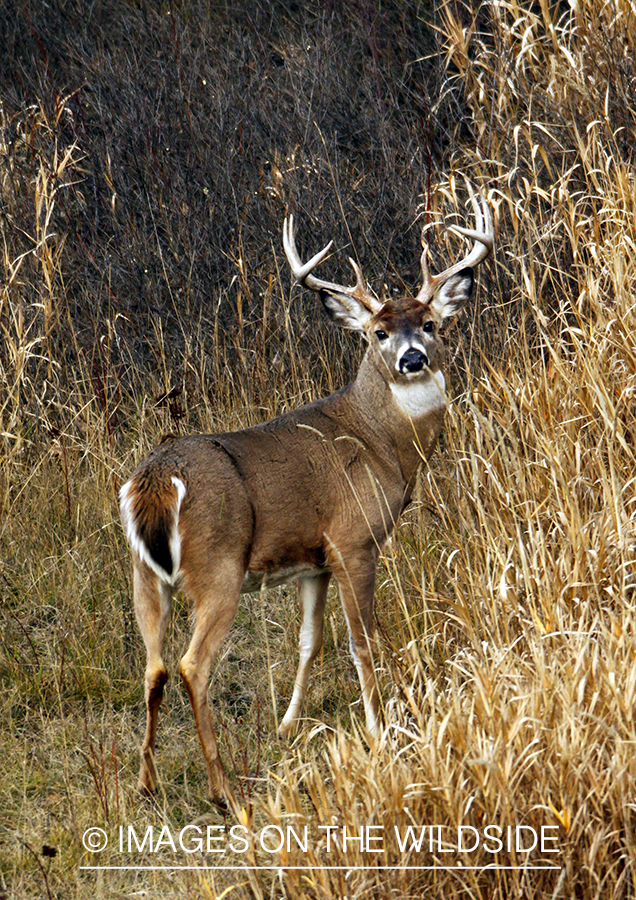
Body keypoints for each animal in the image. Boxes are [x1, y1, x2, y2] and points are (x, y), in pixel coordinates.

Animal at [121, 188, 494, 808]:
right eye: (378, 333)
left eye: (432, 324)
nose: (413, 359)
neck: (381, 444)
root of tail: (155, 480)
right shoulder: (354, 540)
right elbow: (362, 642)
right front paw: (378, 729)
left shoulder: (312, 561)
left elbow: (309, 641)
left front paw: (288, 725)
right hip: (218, 567)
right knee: (192, 665)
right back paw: (223, 789)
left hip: (145, 576)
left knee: (153, 666)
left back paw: (147, 781)